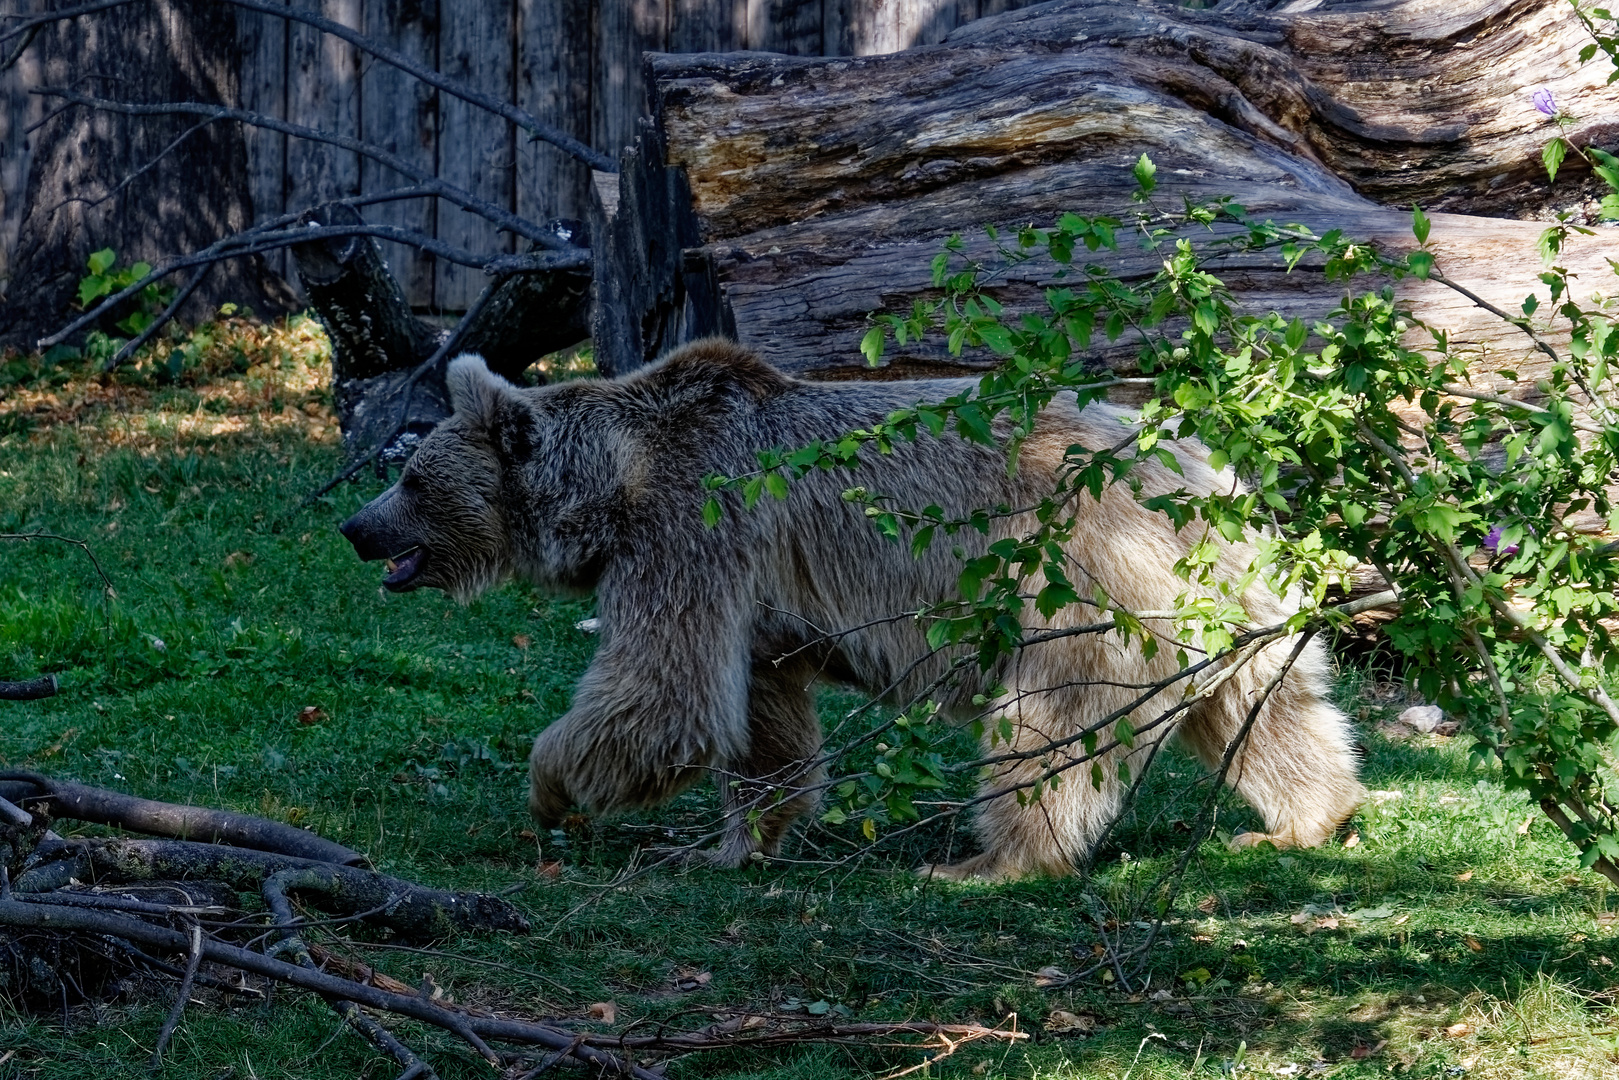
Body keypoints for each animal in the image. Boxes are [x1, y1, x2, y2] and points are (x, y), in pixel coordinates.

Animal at [344, 341, 1366, 880]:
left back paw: (984, 864)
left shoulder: (691, 535)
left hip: (1077, 585)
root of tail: (1204, 472)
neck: (611, 492)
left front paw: (550, 790)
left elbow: (664, 694)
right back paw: (1302, 817)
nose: (357, 528)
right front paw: (739, 843)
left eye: (410, 474)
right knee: (1270, 708)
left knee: (1046, 731)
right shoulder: (752, 605)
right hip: (1219, 601)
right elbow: (757, 721)